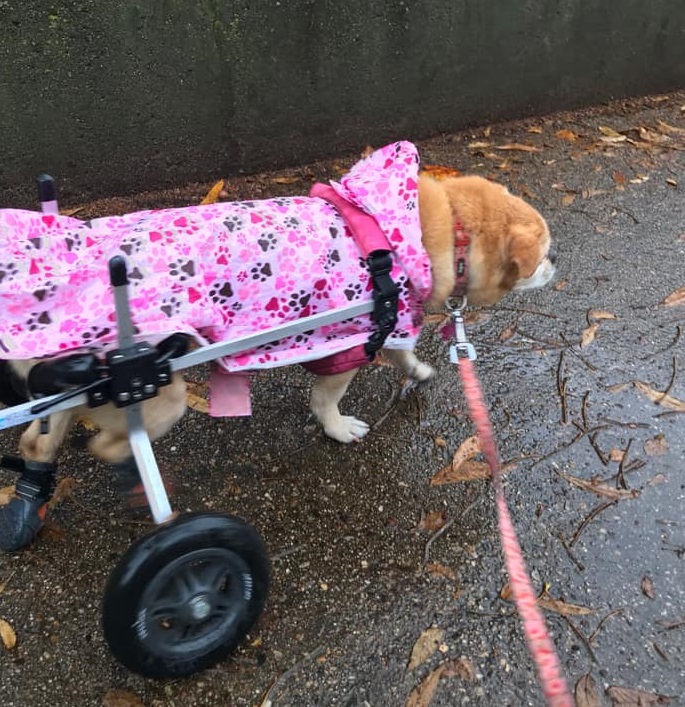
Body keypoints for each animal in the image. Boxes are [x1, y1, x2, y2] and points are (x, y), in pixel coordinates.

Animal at [0, 144, 552, 516]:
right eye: (544, 253)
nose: (556, 264)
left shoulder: (389, 324)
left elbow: (404, 353)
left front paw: (416, 370)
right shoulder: (348, 344)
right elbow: (326, 400)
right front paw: (338, 428)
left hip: (71, 390)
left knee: (38, 442)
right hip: (158, 394)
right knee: (109, 446)